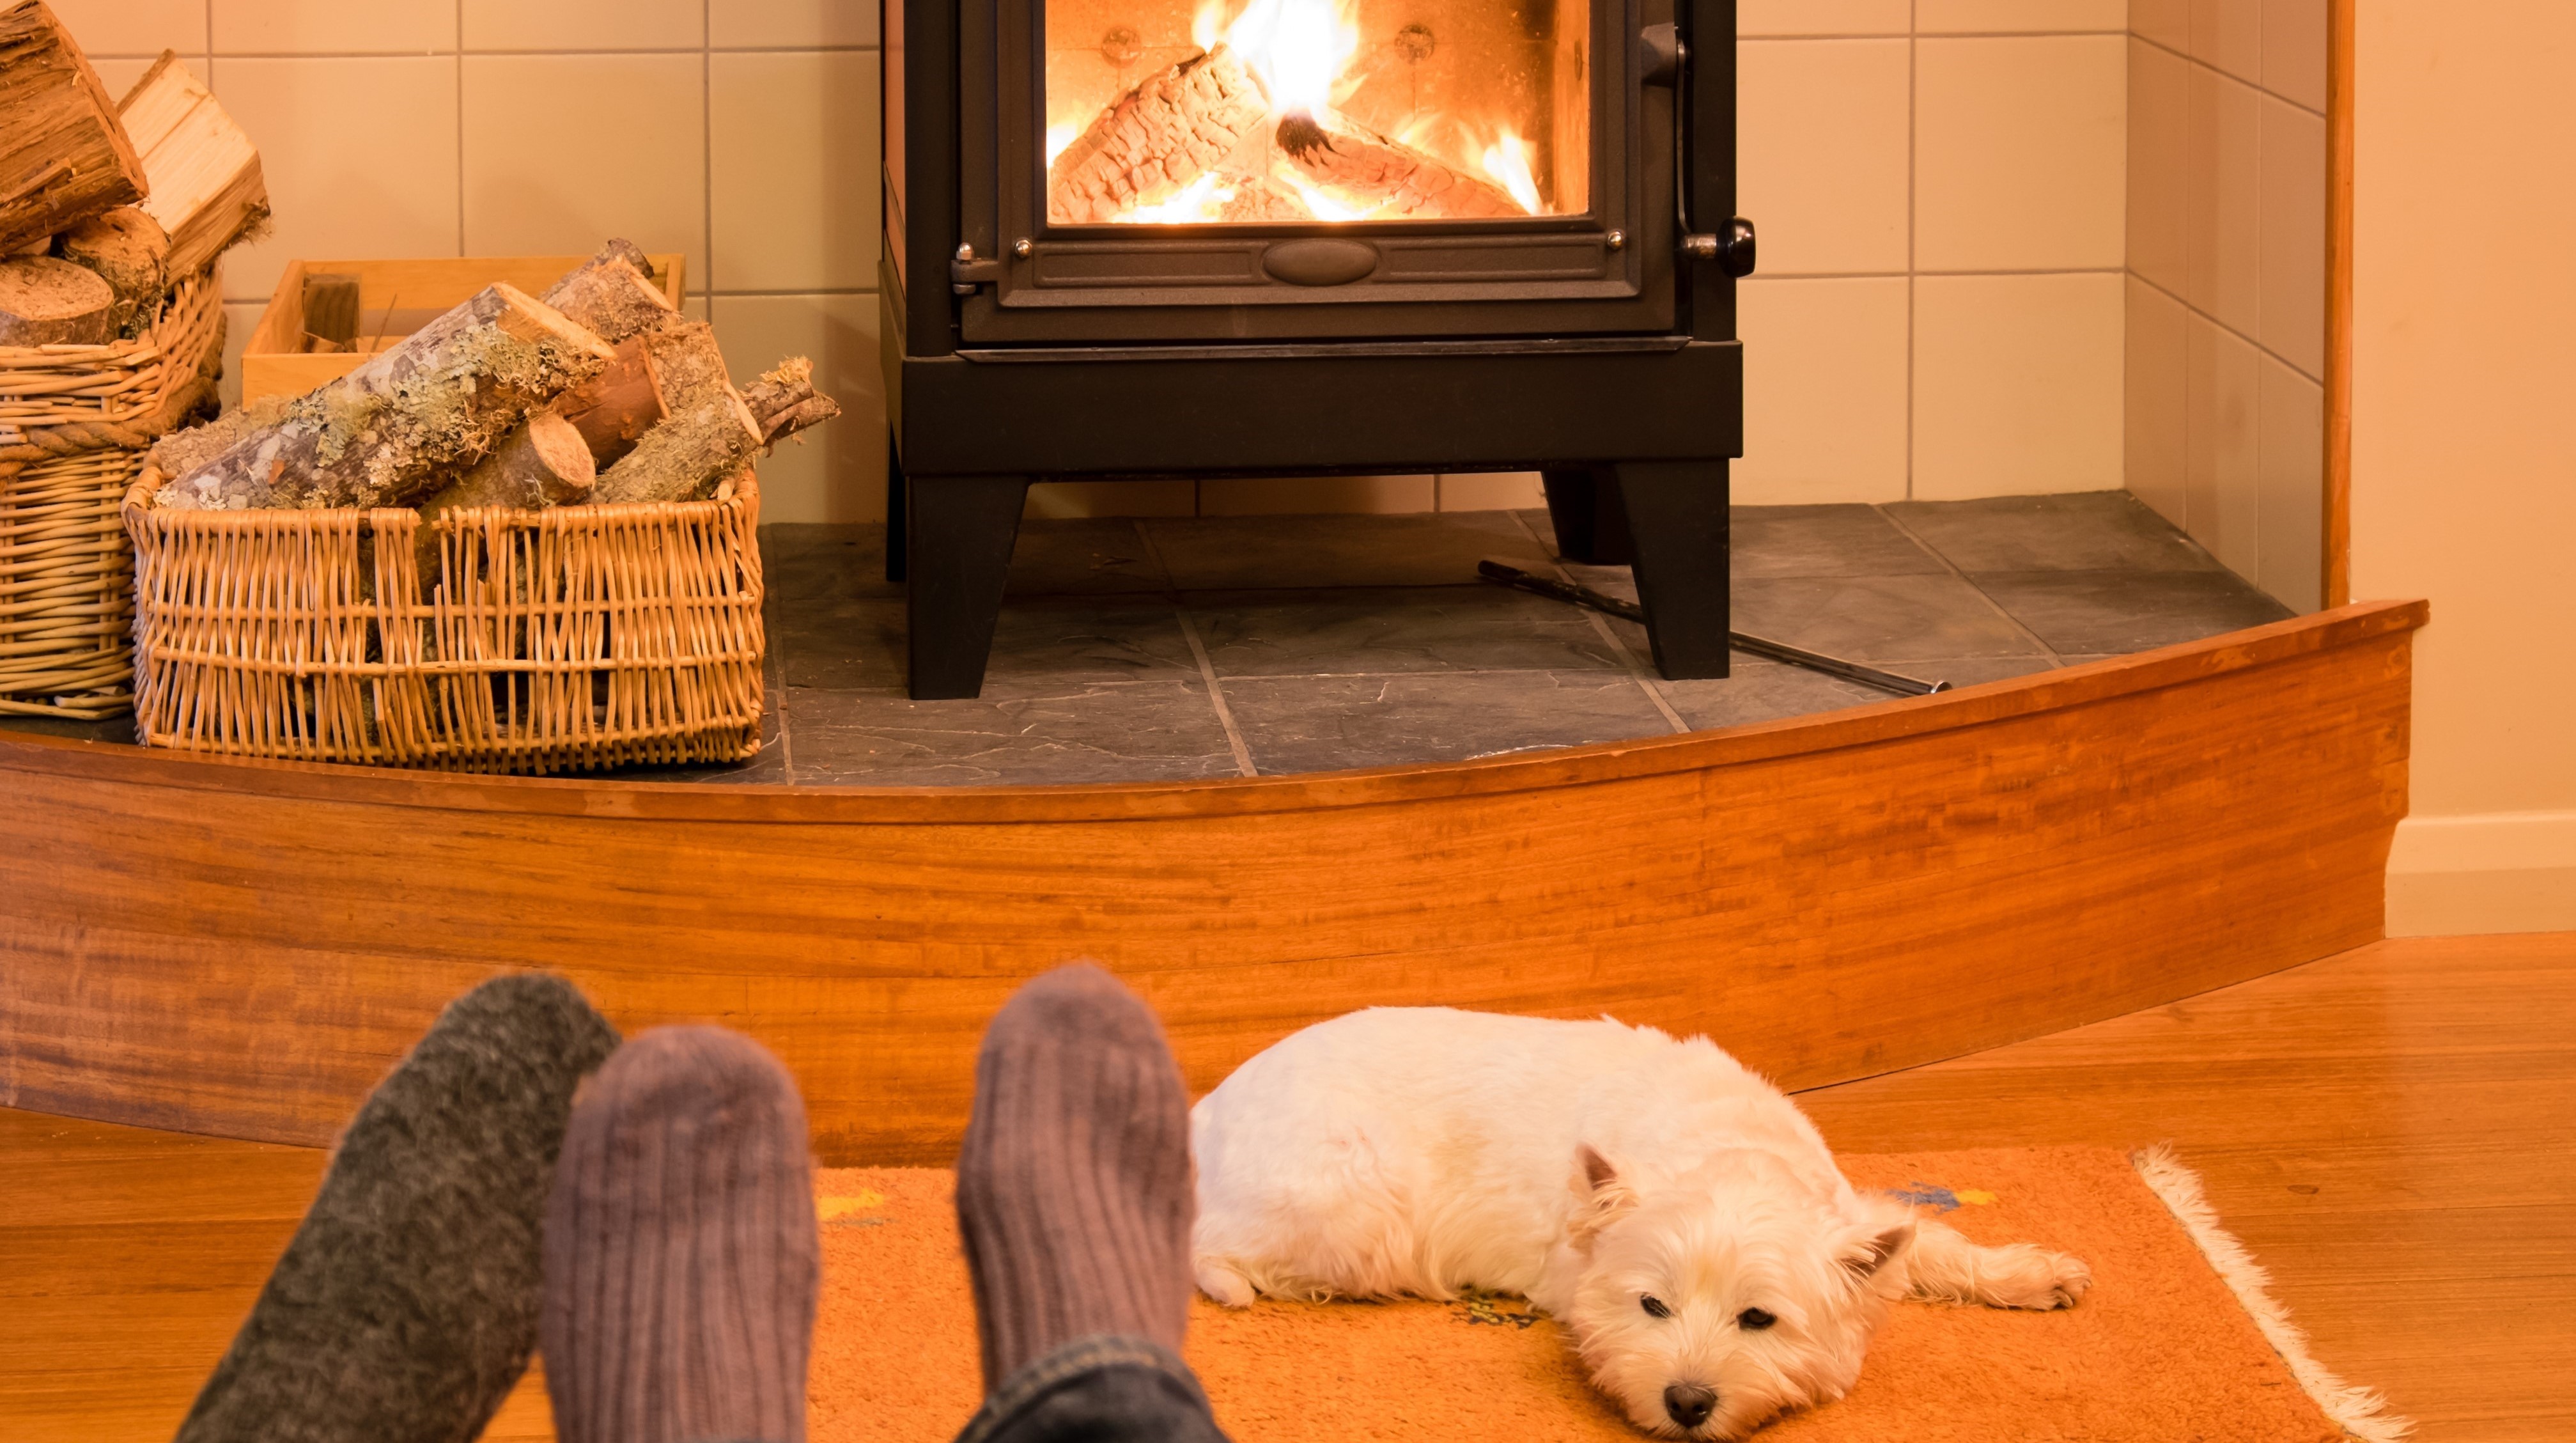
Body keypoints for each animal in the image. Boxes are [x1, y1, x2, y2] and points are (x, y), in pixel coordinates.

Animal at [1190, 1010, 2091, 1432]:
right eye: (1651, 1305)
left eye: (1757, 1318)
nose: (1686, 1402)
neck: (1727, 1147)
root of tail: (1204, 1110)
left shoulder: (1855, 1214)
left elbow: (1931, 1241)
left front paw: (2038, 1273)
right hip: (1354, 1201)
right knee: (1221, 1252)